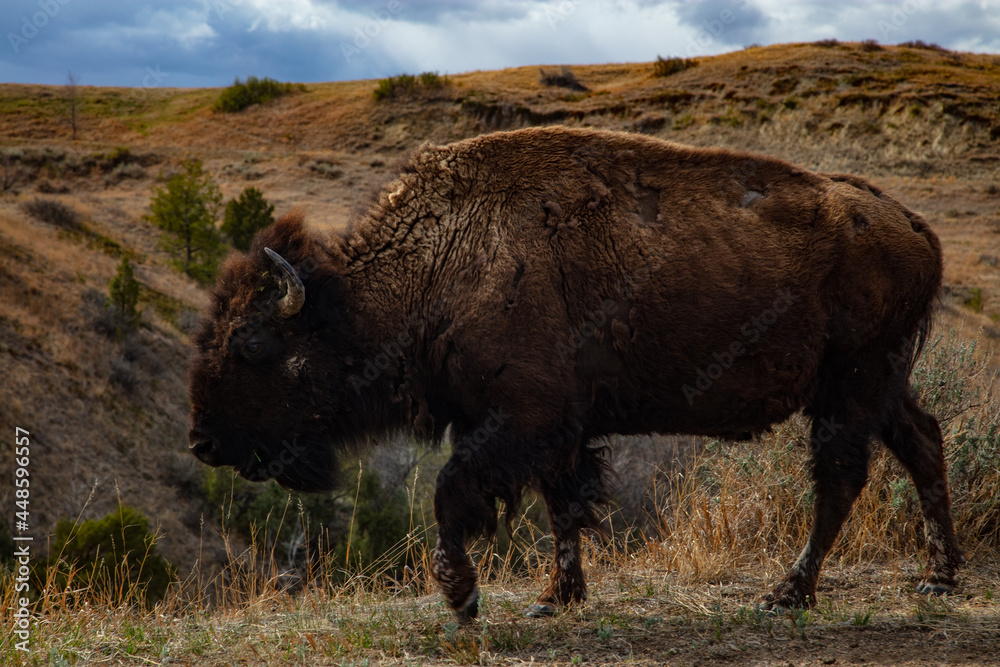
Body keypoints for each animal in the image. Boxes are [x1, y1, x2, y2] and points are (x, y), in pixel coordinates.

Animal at [188, 124, 960, 620]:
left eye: (251, 345)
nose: (202, 442)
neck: (442, 263)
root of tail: (915, 225)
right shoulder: (556, 432)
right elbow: (563, 505)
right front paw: (553, 599)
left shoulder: (519, 422)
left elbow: (452, 494)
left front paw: (463, 596)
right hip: (880, 384)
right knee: (923, 443)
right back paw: (938, 579)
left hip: (851, 385)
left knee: (841, 478)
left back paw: (787, 594)